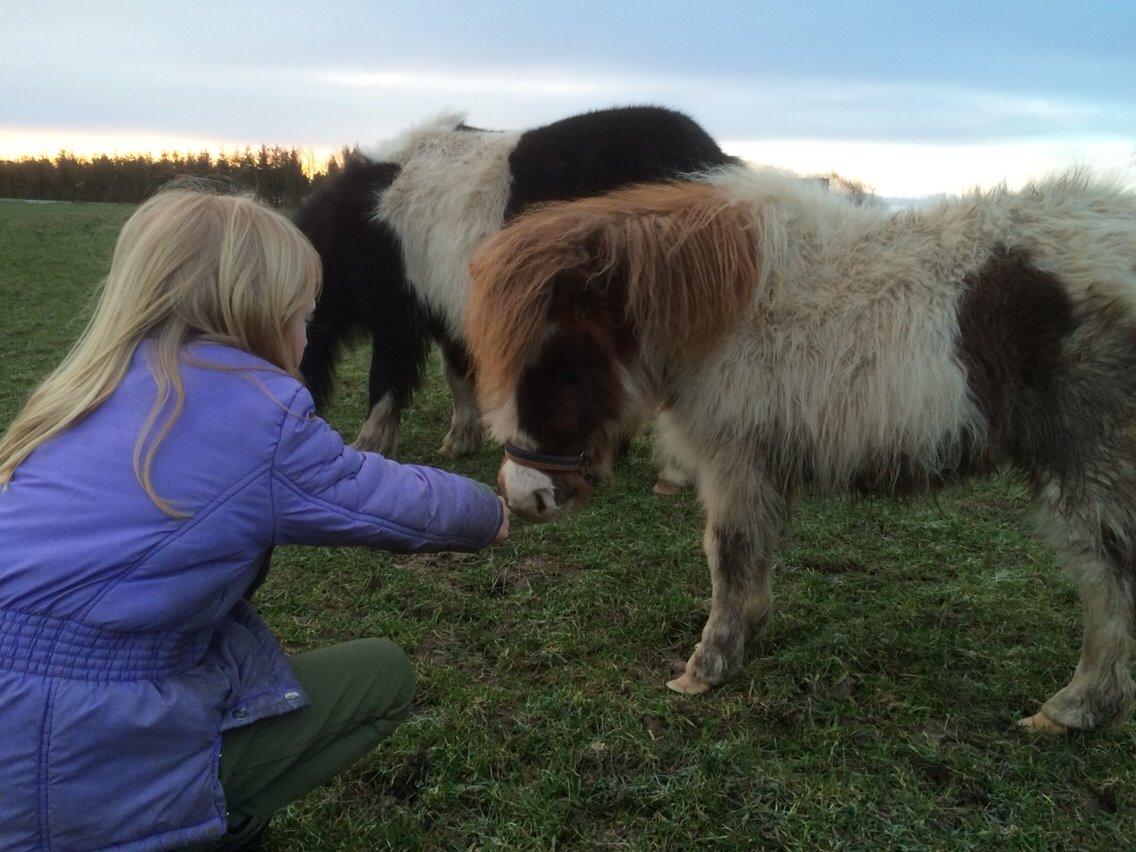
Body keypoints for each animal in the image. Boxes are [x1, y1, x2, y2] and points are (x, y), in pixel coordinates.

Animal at [293, 106, 736, 481]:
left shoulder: (399, 315)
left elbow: (385, 379)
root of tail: (714, 161)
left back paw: (673, 474)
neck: (367, 222)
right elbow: (457, 373)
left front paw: (368, 443)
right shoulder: (448, 309)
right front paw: (462, 439)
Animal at [465, 168, 1136, 736]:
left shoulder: (735, 459)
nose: (524, 496)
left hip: (1092, 466)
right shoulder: (762, 462)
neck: (728, 310)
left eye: (564, 367)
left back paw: (1073, 708)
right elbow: (752, 551)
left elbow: (728, 551)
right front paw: (750, 628)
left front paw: (706, 666)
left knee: (1108, 574)